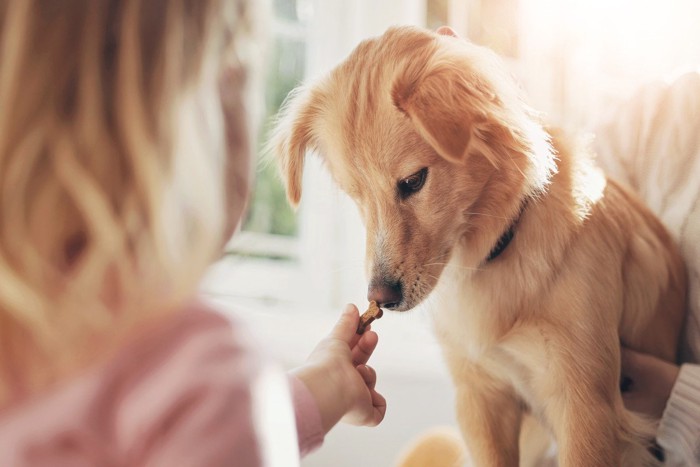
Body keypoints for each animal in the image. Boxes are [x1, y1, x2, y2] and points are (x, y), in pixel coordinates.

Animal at [270, 26, 688, 467]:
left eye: (413, 181)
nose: (380, 298)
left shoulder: (586, 408)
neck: (496, 253)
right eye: (354, 196)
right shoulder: (480, 398)